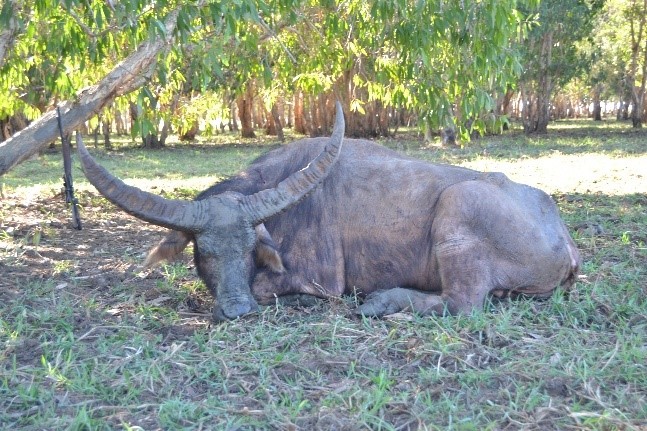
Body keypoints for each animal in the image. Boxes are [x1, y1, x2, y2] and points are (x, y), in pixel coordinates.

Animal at [77, 104, 584, 320]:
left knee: (462, 304)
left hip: (459, 206)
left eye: (250, 250)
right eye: (203, 252)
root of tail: (565, 240)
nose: (236, 311)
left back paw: (382, 302)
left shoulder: (319, 281)